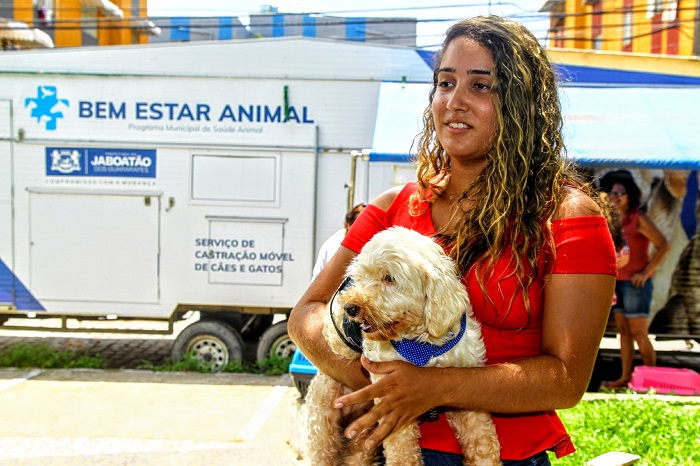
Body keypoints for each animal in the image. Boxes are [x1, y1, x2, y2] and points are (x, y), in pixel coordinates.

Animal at [304, 225, 498, 462]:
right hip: (323, 421)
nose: (350, 307)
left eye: (389, 278)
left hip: (362, 439)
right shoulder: (391, 402)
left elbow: (483, 442)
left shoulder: (464, 392)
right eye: (359, 277)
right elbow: (402, 452)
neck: (422, 346)